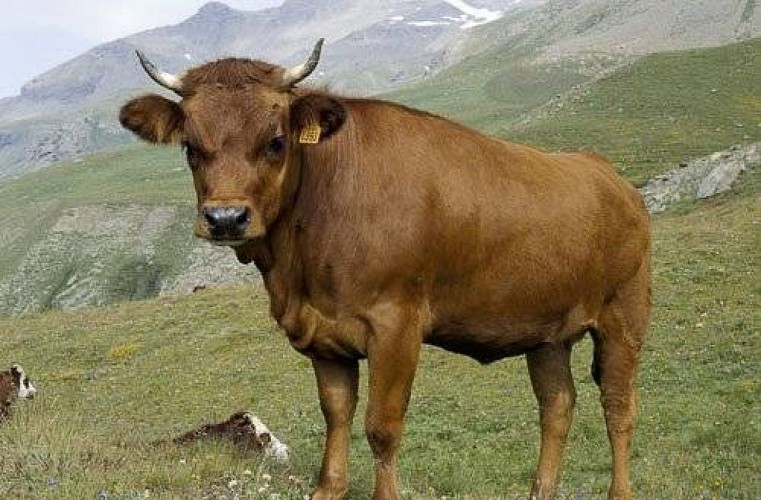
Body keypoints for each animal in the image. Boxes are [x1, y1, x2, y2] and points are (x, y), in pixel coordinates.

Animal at [119, 39, 651, 500]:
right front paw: (328, 488)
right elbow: (336, 413)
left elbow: (382, 426)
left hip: (623, 317)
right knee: (557, 406)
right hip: (546, 332)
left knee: (618, 407)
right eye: (190, 147)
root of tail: (608, 174)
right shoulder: (324, 335)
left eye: (276, 141)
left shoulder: (396, 326)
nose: (226, 218)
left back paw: (619, 490)